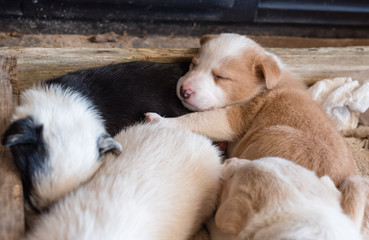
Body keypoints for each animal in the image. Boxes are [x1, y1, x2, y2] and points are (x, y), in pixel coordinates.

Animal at [145, 32, 356, 186]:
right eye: (193, 65)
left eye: (221, 77)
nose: (184, 90)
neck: (262, 87)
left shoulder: (234, 116)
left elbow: (198, 119)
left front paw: (159, 120)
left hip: (272, 135)